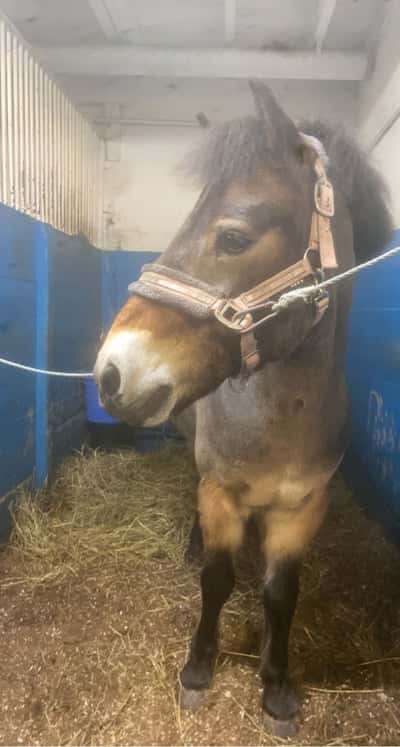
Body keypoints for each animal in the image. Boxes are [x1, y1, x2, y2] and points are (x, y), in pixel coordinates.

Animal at [94, 82, 392, 735]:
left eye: (233, 238)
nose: (111, 372)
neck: (281, 414)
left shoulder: (304, 505)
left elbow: (281, 593)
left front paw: (276, 687)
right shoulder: (220, 492)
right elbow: (217, 579)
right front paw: (199, 669)